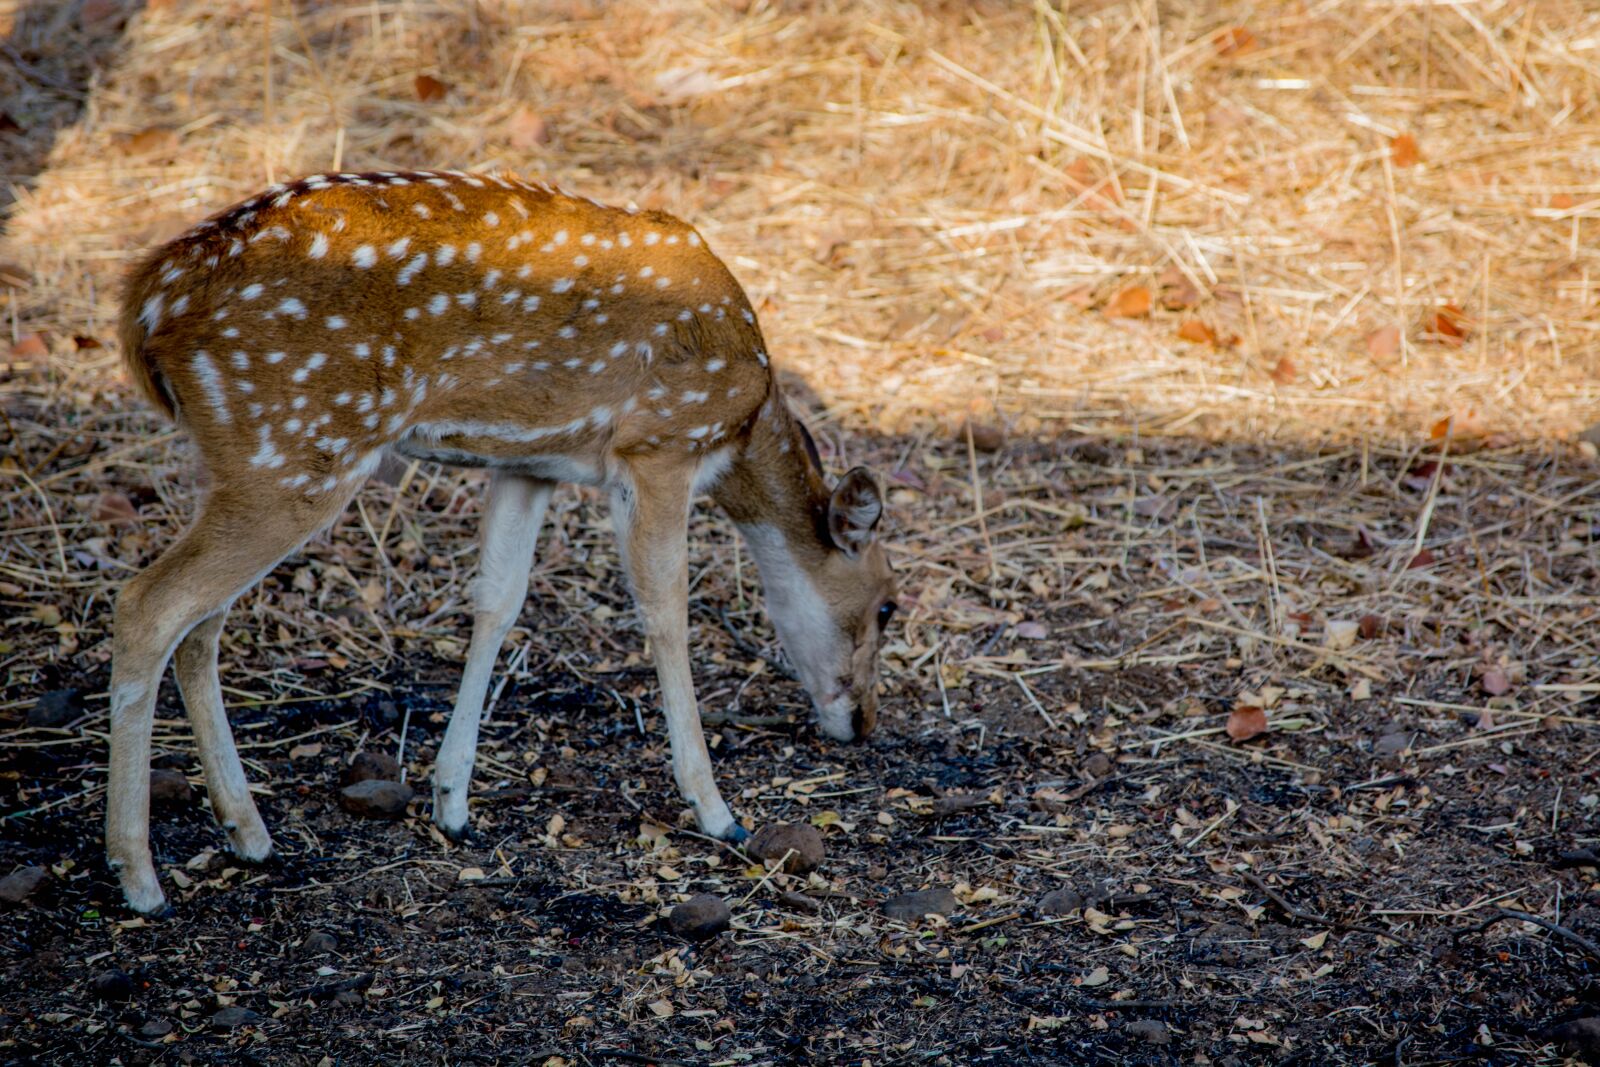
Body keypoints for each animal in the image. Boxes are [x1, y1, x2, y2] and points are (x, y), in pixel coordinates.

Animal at [107, 169, 897, 915]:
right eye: (889, 606)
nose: (862, 722)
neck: (741, 425)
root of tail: (145, 306)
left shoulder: (529, 463)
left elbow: (499, 599)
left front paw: (451, 802)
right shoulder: (660, 443)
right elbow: (665, 610)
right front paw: (716, 809)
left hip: (246, 460)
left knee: (201, 623)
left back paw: (248, 833)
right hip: (297, 443)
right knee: (149, 603)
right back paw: (140, 876)